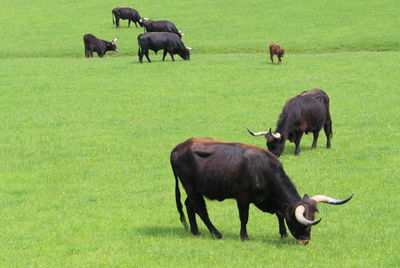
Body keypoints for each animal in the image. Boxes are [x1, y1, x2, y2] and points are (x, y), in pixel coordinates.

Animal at [170, 137, 352, 244]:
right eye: (301, 222)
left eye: (312, 218)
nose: (305, 241)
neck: (262, 169)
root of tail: (179, 147)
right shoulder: (242, 197)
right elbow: (244, 217)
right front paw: (244, 237)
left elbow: (280, 214)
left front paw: (283, 233)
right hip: (191, 188)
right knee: (201, 209)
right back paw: (216, 233)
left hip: (194, 190)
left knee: (190, 206)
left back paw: (195, 231)